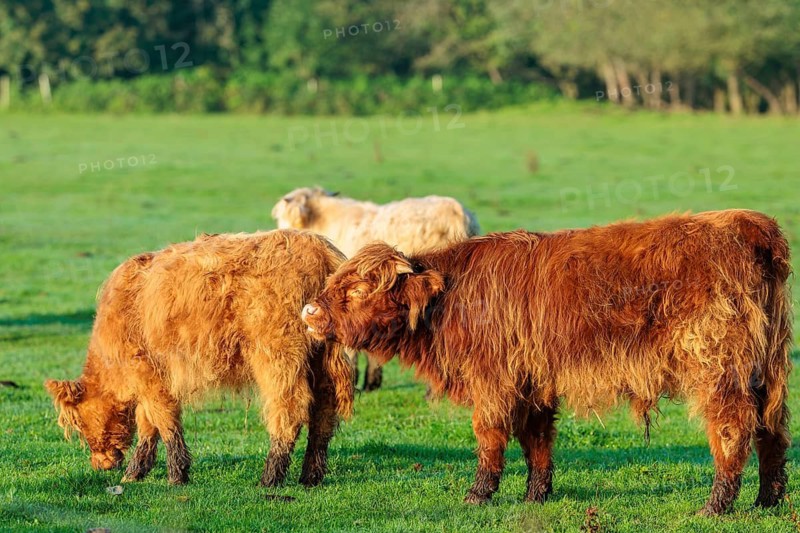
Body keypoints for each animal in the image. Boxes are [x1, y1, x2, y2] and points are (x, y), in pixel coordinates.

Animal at [46, 230, 353, 488]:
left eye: (79, 424)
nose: (100, 465)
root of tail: (318, 248)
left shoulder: (148, 374)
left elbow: (164, 420)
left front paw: (175, 475)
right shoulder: (153, 379)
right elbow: (148, 424)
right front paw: (136, 472)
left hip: (277, 355)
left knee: (289, 410)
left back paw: (270, 478)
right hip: (320, 362)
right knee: (323, 414)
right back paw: (310, 476)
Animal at [301, 210, 792, 515]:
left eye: (357, 290)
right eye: (335, 280)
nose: (310, 311)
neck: (452, 298)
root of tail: (748, 224)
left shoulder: (494, 380)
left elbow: (490, 436)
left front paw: (478, 494)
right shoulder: (533, 380)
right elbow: (537, 440)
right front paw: (535, 495)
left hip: (718, 368)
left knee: (733, 428)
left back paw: (716, 504)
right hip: (766, 370)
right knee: (773, 429)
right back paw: (767, 499)